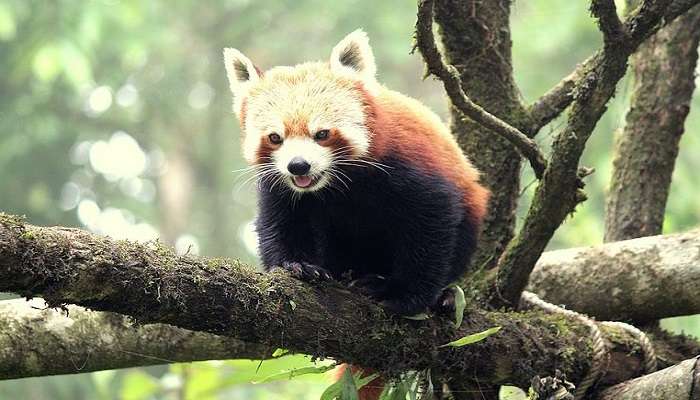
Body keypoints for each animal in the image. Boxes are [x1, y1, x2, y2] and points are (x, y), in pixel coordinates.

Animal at [224, 28, 486, 316]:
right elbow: (281, 222)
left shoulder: (409, 167)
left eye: (322, 134)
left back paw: (442, 295)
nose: (298, 165)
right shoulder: (280, 184)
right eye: (275, 138)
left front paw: (401, 293)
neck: (336, 183)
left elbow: (430, 226)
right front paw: (297, 264)